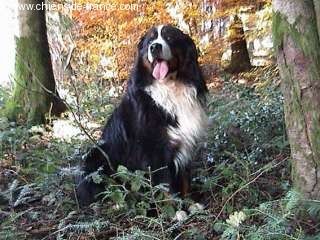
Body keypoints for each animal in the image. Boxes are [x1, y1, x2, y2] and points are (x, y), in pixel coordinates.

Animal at [76, 24, 209, 205]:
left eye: (170, 37)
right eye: (150, 41)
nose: (155, 47)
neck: (170, 87)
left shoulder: (186, 142)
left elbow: (185, 179)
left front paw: (190, 204)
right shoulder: (154, 149)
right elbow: (165, 185)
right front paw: (174, 209)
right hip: (96, 157)